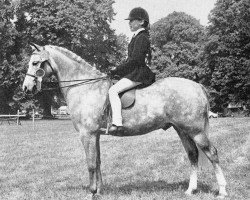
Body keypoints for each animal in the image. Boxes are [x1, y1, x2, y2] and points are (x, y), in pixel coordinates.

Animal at [22, 44, 228, 199]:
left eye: (35, 63)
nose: (26, 88)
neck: (86, 87)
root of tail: (197, 86)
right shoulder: (95, 135)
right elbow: (98, 161)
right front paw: (99, 191)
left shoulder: (87, 134)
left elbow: (90, 164)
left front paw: (91, 193)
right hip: (182, 130)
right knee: (192, 154)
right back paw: (190, 190)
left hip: (195, 131)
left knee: (212, 153)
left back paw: (222, 191)